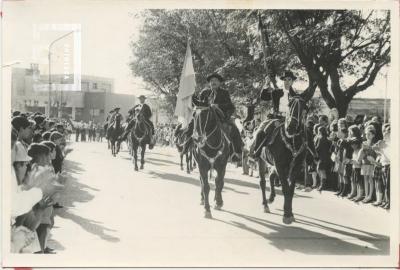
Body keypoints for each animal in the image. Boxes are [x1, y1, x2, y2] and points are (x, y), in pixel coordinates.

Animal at [256, 96, 312, 225]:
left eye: (303, 107)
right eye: (289, 104)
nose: (291, 126)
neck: (292, 141)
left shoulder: (296, 167)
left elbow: (290, 189)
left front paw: (290, 212)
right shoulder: (280, 165)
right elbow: (285, 188)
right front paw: (287, 215)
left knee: (272, 176)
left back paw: (271, 197)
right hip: (262, 160)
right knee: (263, 182)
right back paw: (265, 204)